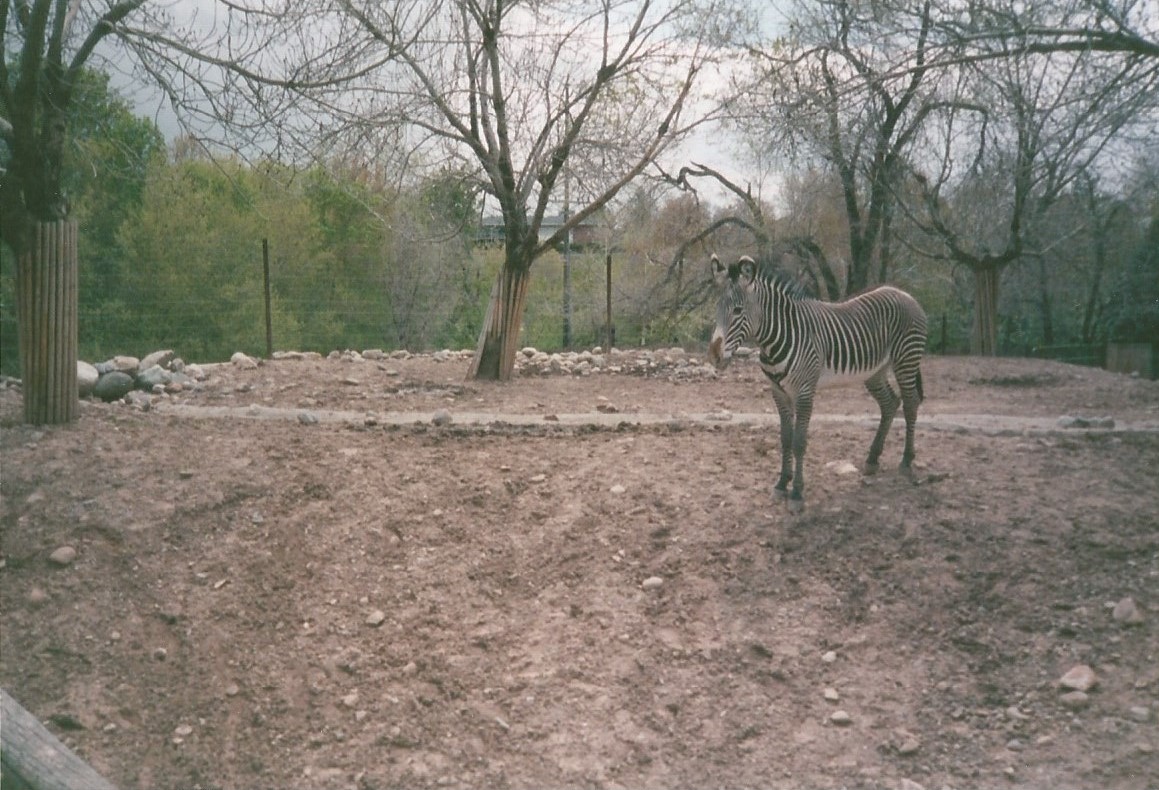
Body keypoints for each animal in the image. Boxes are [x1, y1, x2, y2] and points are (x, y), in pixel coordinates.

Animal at [708, 254, 927, 512]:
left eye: (738, 310)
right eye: (717, 309)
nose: (714, 356)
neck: (774, 340)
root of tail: (905, 294)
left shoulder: (804, 391)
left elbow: (799, 442)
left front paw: (796, 493)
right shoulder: (778, 392)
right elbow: (785, 439)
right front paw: (781, 484)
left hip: (906, 359)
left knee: (910, 403)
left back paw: (906, 460)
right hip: (876, 371)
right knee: (890, 403)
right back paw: (873, 459)